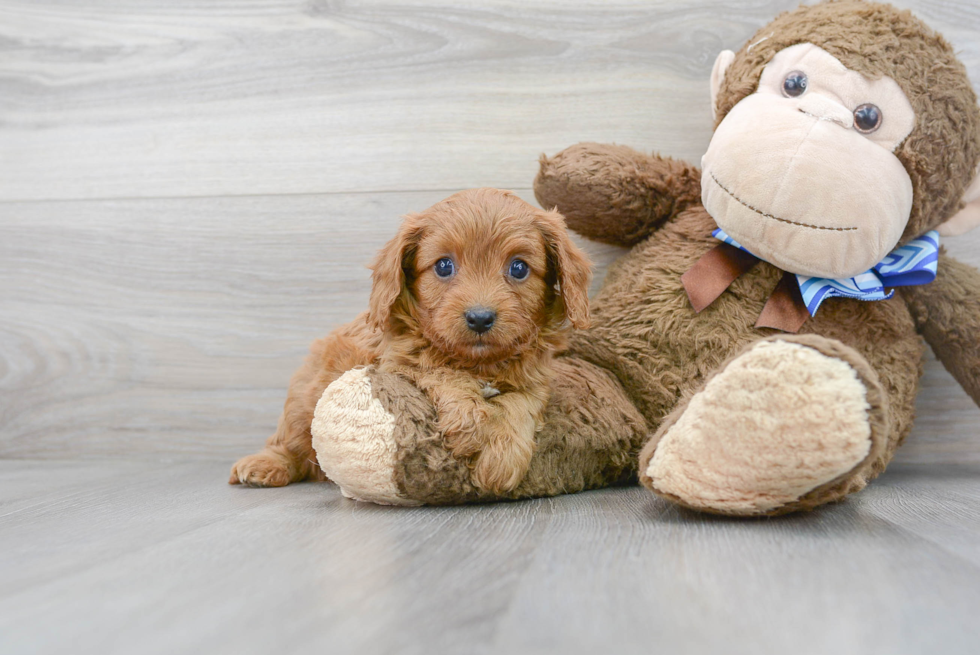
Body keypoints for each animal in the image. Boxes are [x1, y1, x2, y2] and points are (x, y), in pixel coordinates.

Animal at [232, 187, 588, 494]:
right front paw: (470, 424)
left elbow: (519, 404)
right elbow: (442, 373)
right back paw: (264, 465)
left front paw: (501, 458)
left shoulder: (534, 380)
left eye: (518, 268)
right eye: (443, 266)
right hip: (303, 401)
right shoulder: (397, 364)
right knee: (289, 443)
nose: (480, 317)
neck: (477, 363)